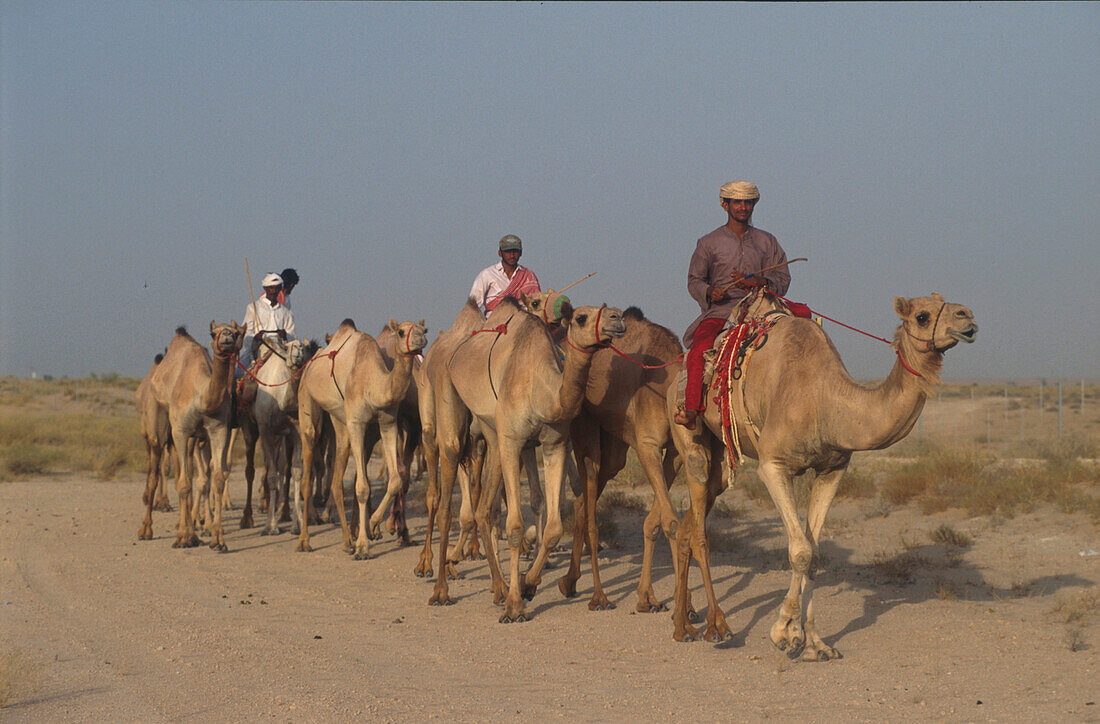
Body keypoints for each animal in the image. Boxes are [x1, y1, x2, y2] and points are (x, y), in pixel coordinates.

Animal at [139, 321, 245, 547]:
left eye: (236, 332)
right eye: (213, 332)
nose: (227, 338)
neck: (202, 397)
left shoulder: (218, 430)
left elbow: (217, 478)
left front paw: (217, 538)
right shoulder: (181, 431)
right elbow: (184, 483)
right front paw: (183, 537)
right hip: (157, 424)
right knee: (155, 473)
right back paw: (146, 530)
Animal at [297, 316, 429, 558]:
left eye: (425, 329)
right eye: (401, 332)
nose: (420, 339)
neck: (373, 382)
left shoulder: (387, 423)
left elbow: (395, 480)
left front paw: (373, 525)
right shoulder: (357, 422)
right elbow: (362, 487)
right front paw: (363, 546)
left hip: (339, 422)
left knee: (337, 479)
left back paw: (347, 540)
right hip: (309, 403)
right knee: (307, 469)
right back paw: (305, 541)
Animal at [424, 294, 629, 620]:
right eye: (581, 318)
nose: (617, 318)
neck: (543, 391)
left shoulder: (554, 444)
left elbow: (554, 528)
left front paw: (528, 585)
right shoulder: (514, 442)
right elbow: (516, 527)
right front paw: (515, 606)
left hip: (492, 437)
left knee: (483, 510)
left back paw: (498, 587)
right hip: (449, 403)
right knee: (448, 495)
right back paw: (441, 588)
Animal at [563, 303, 682, 607]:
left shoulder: (675, 453)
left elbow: (655, 521)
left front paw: (648, 596)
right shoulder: (648, 445)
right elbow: (670, 521)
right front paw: (683, 608)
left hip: (614, 445)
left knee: (584, 499)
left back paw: (569, 582)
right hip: (584, 428)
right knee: (584, 496)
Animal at [664, 290, 976, 655]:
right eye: (922, 316)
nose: (967, 318)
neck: (825, 401)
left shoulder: (833, 468)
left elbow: (815, 553)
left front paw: (815, 643)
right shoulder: (773, 464)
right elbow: (799, 551)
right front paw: (784, 632)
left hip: (721, 452)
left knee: (688, 527)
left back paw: (683, 620)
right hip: (687, 432)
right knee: (699, 521)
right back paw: (713, 627)